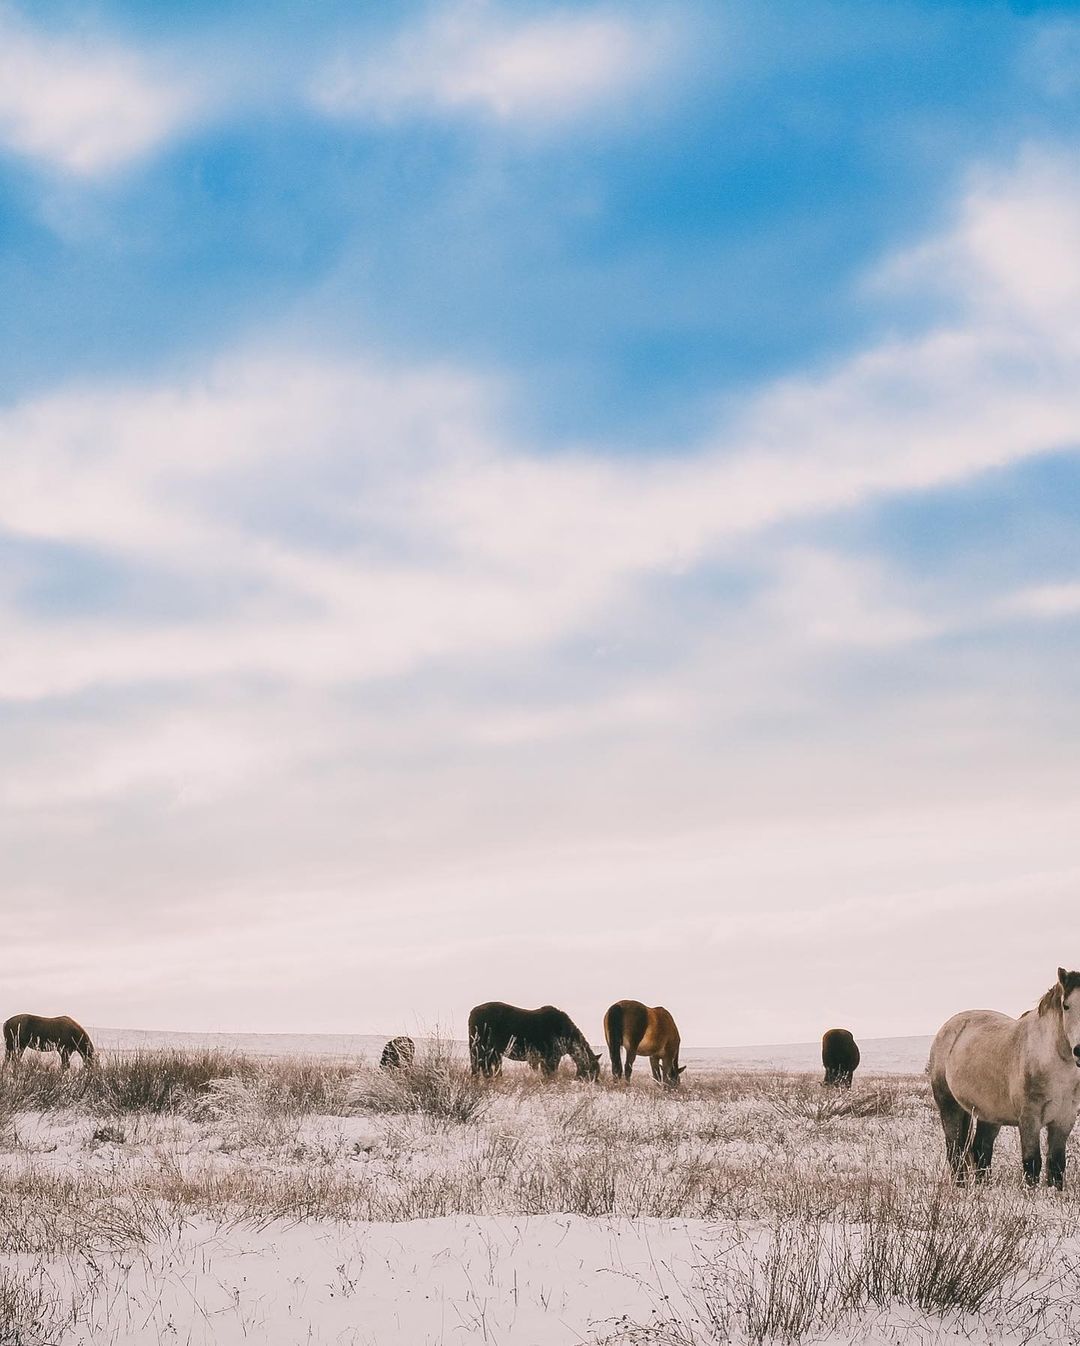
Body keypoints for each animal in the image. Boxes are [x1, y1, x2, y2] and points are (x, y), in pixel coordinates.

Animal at [465, 1001, 600, 1082]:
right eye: (592, 1071)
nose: (595, 1082)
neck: (564, 1033)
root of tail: (472, 1012)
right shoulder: (551, 1058)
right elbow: (550, 1074)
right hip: (480, 1049)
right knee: (477, 1066)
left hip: (491, 1052)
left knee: (486, 1068)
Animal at [921, 969, 1077, 1189]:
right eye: (1066, 1006)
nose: (1079, 1050)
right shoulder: (1029, 1118)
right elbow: (1032, 1163)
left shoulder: (1064, 1119)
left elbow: (1056, 1166)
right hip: (950, 1106)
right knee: (956, 1151)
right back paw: (960, 1188)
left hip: (989, 1115)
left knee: (980, 1149)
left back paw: (982, 1188)